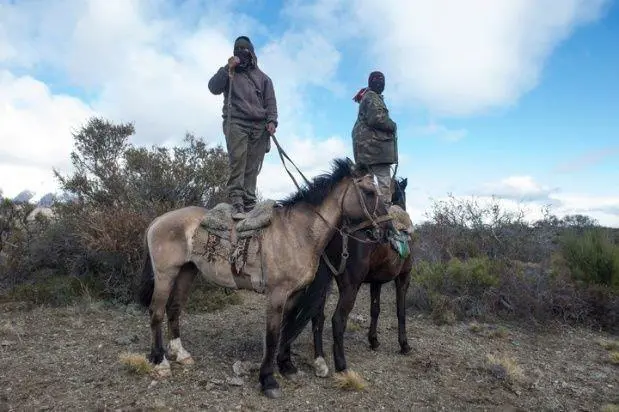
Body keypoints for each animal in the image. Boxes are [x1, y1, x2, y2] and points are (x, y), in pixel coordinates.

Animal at [139, 157, 392, 396]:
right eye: (369, 192)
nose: (388, 231)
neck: (297, 233)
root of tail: (157, 221)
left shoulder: (294, 294)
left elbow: (287, 329)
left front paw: (287, 366)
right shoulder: (277, 294)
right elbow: (272, 335)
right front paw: (268, 380)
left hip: (186, 272)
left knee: (174, 309)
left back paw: (181, 354)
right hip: (165, 275)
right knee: (156, 312)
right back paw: (160, 361)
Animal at [274, 176, 412, 376]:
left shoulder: (376, 282)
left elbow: (375, 310)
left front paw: (373, 340)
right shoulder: (403, 277)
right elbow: (401, 311)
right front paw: (404, 345)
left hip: (324, 281)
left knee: (317, 316)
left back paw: (318, 361)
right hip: (350, 285)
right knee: (338, 319)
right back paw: (341, 364)